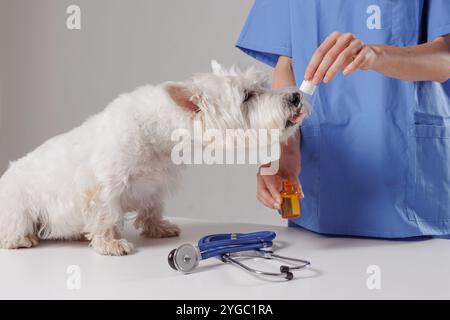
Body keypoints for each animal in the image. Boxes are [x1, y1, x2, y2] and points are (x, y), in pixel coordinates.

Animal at [0, 60, 308, 255]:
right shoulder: (103, 187)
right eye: (247, 96)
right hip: (19, 206)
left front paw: (158, 228)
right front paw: (111, 244)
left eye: (261, 85)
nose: (295, 96)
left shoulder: (154, 184)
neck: (158, 133)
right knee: (15, 228)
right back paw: (21, 239)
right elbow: (105, 216)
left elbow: (151, 208)